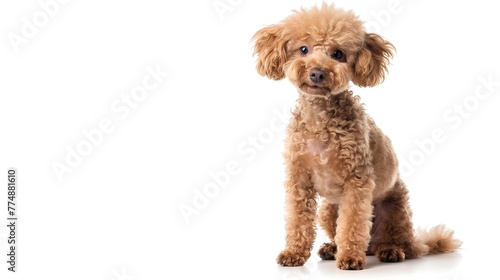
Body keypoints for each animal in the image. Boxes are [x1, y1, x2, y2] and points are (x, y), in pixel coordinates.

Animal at [252, 2, 458, 270]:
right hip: (328, 210)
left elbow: (352, 223)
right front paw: (294, 252)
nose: (317, 73)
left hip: (395, 210)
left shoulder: (356, 182)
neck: (321, 120)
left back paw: (390, 251)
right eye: (303, 49)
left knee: (399, 245)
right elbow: (298, 220)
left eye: (338, 54)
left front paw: (350, 258)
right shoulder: (300, 180)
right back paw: (332, 248)